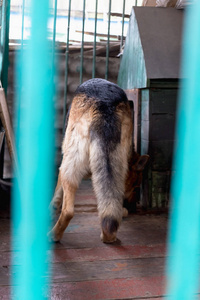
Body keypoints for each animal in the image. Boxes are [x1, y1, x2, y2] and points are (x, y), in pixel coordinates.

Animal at [48, 78, 148, 243]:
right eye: (135, 186)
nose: (133, 207)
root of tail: (105, 104)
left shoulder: (63, 166)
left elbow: (57, 193)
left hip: (71, 163)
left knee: (68, 211)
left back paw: (54, 235)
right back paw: (108, 235)